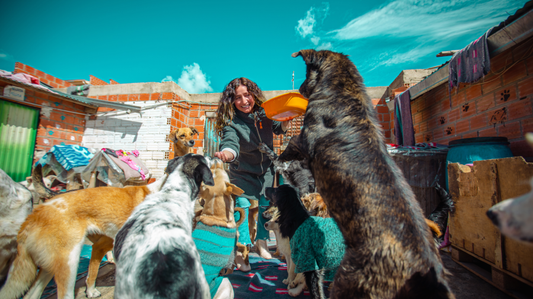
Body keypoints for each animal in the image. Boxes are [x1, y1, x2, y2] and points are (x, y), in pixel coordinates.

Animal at [278, 49, 454, 299]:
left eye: (305, 73)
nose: (300, 88)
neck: (344, 89)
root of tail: (425, 268)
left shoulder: (302, 141)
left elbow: (289, 148)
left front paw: (279, 161)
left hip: (347, 280)